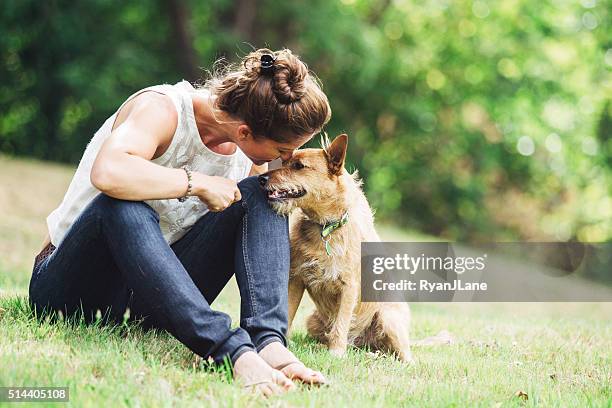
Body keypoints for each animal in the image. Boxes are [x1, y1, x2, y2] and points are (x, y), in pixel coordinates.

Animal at [256, 135, 414, 364]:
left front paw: (336, 352)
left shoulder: (349, 287)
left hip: (388, 319)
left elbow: (341, 323)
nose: (260, 179)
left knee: (403, 357)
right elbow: (289, 312)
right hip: (313, 321)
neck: (326, 227)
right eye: (285, 162)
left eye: (298, 166)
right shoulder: (296, 279)